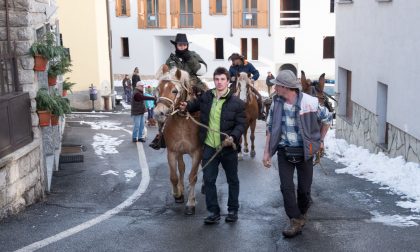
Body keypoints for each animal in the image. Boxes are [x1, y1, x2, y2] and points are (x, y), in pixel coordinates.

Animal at [154, 66, 202, 216]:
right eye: (158, 89)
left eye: (174, 90)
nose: (158, 113)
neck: (182, 120)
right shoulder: (172, 152)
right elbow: (174, 176)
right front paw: (177, 194)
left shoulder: (197, 153)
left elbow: (192, 176)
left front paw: (191, 204)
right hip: (180, 152)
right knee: (181, 168)